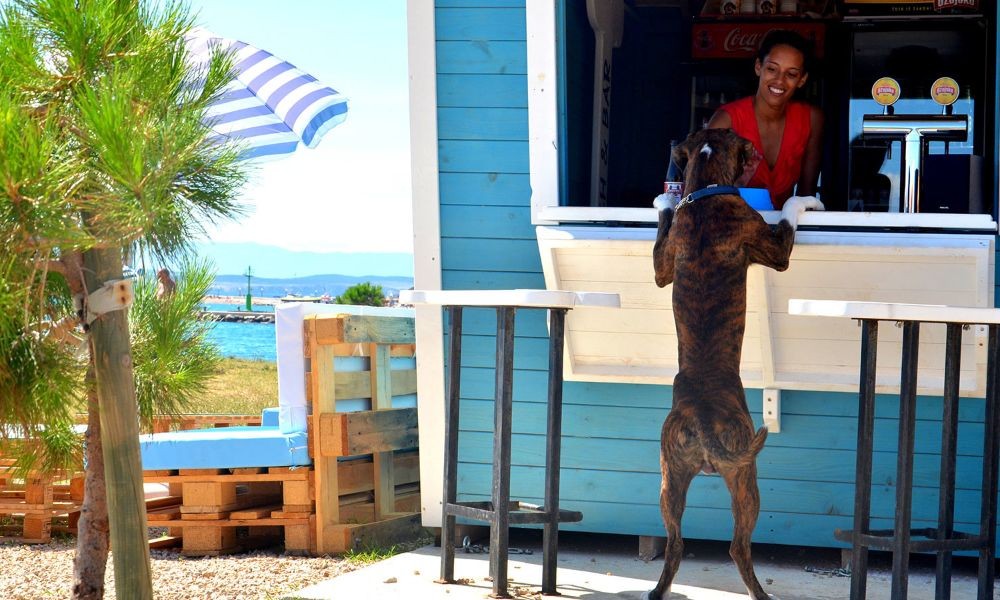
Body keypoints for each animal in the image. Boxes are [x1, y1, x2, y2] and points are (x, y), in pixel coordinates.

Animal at [644, 129, 824, 596]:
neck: (705, 191)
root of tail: (703, 419)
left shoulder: (662, 266)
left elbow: (663, 232)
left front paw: (663, 199)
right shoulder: (774, 247)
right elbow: (789, 213)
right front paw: (806, 199)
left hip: (670, 477)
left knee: (675, 545)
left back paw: (659, 590)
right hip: (747, 479)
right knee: (738, 548)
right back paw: (760, 591)